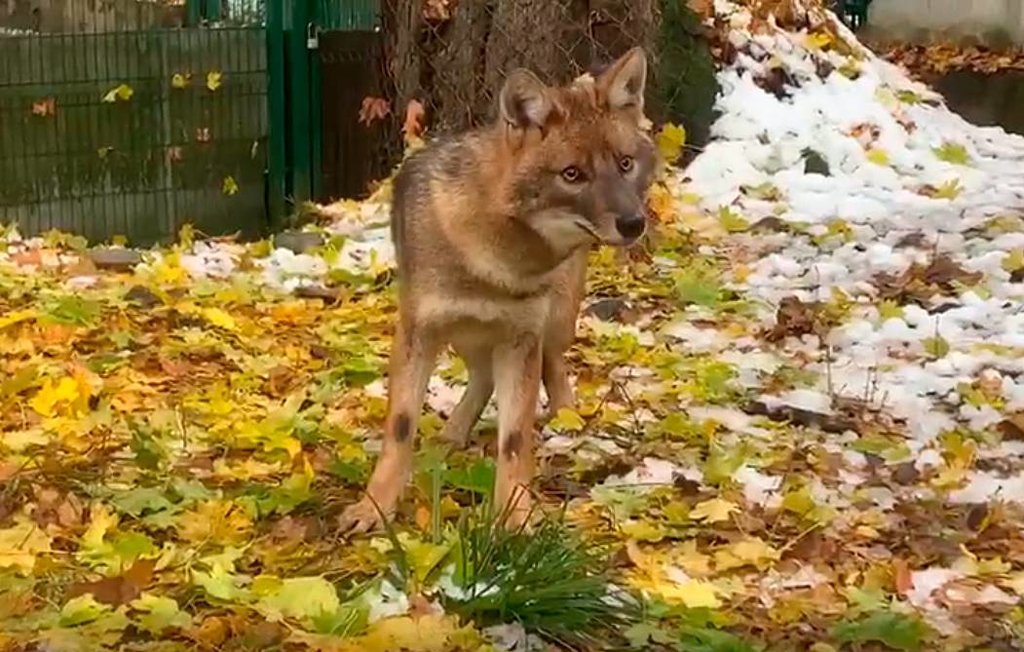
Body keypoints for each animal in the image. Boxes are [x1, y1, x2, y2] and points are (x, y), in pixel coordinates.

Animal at [335, 47, 655, 532]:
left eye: (624, 163)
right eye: (572, 174)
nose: (634, 223)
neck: (494, 260)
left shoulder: (520, 339)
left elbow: (514, 439)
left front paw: (515, 516)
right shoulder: (417, 333)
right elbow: (402, 426)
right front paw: (374, 508)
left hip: (554, 321)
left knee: (552, 365)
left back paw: (565, 418)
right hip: (466, 336)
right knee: (482, 378)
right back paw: (451, 435)